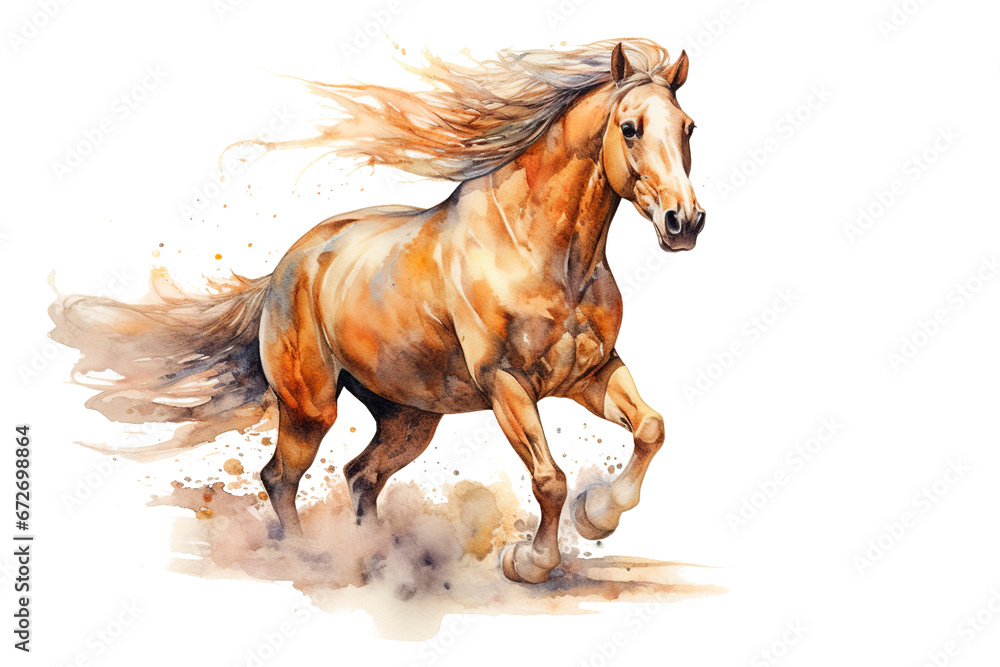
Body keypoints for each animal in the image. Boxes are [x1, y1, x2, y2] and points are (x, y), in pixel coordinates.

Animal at [49, 39, 705, 584]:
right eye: (630, 128)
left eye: (689, 128)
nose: (684, 222)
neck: (545, 253)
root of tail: (288, 266)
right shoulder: (507, 384)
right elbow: (549, 478)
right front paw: (531, 562)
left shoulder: (589, 373)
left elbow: (651, 428)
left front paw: (599, 515)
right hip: (309, 407)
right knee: (280, 476)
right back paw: (310, 558)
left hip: (409, 418)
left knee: (362, 475)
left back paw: (376, 560)